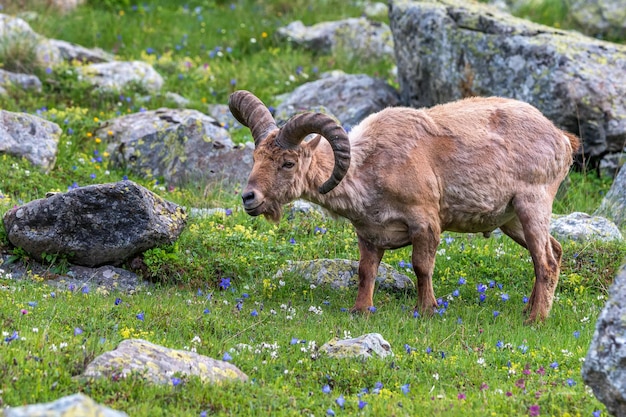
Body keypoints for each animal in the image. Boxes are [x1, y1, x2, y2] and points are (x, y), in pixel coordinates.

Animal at [229, 90, 580, 322]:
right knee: (555, 250)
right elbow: (365, 271)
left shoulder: (424, 220)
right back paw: (529, 308)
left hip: (532, 203)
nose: (250, 198)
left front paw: (426, 309)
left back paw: (536, 318)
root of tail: (562, 139)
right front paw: (360, 309)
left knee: (546, 261)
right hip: (511, 219)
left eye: (288, 163)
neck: (370, 166)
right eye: (255, 157)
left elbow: (421, 266)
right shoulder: (368, 232)